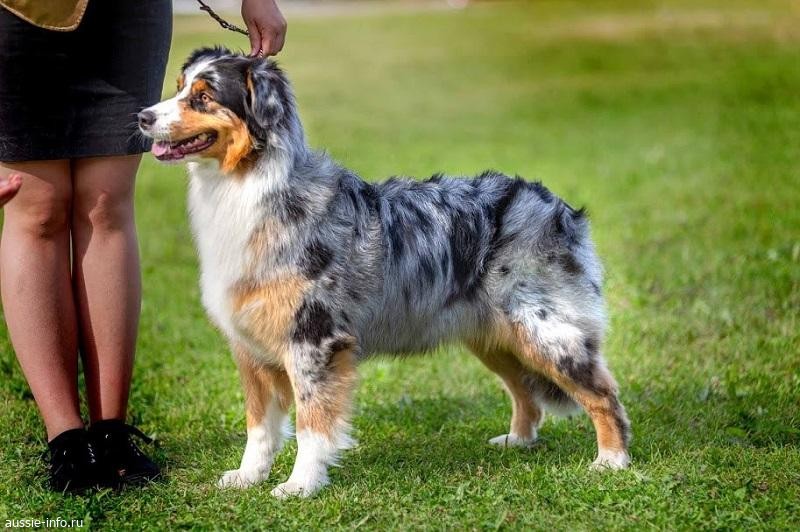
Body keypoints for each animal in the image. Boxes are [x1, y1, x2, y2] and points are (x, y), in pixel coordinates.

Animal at [138, 47, 631, 498]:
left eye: (203, 97)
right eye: (179, 87)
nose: (142, 117)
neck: (247, 186)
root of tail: (556, 205)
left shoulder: (314, 340)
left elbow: (312, 424)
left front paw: (300, 485)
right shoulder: (250, 348)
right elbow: (259, 426)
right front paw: (247, 477)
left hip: (545, 330)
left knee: (603, 393)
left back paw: (612, 460)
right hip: (494, 335)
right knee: (525, 391)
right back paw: (519, 440)